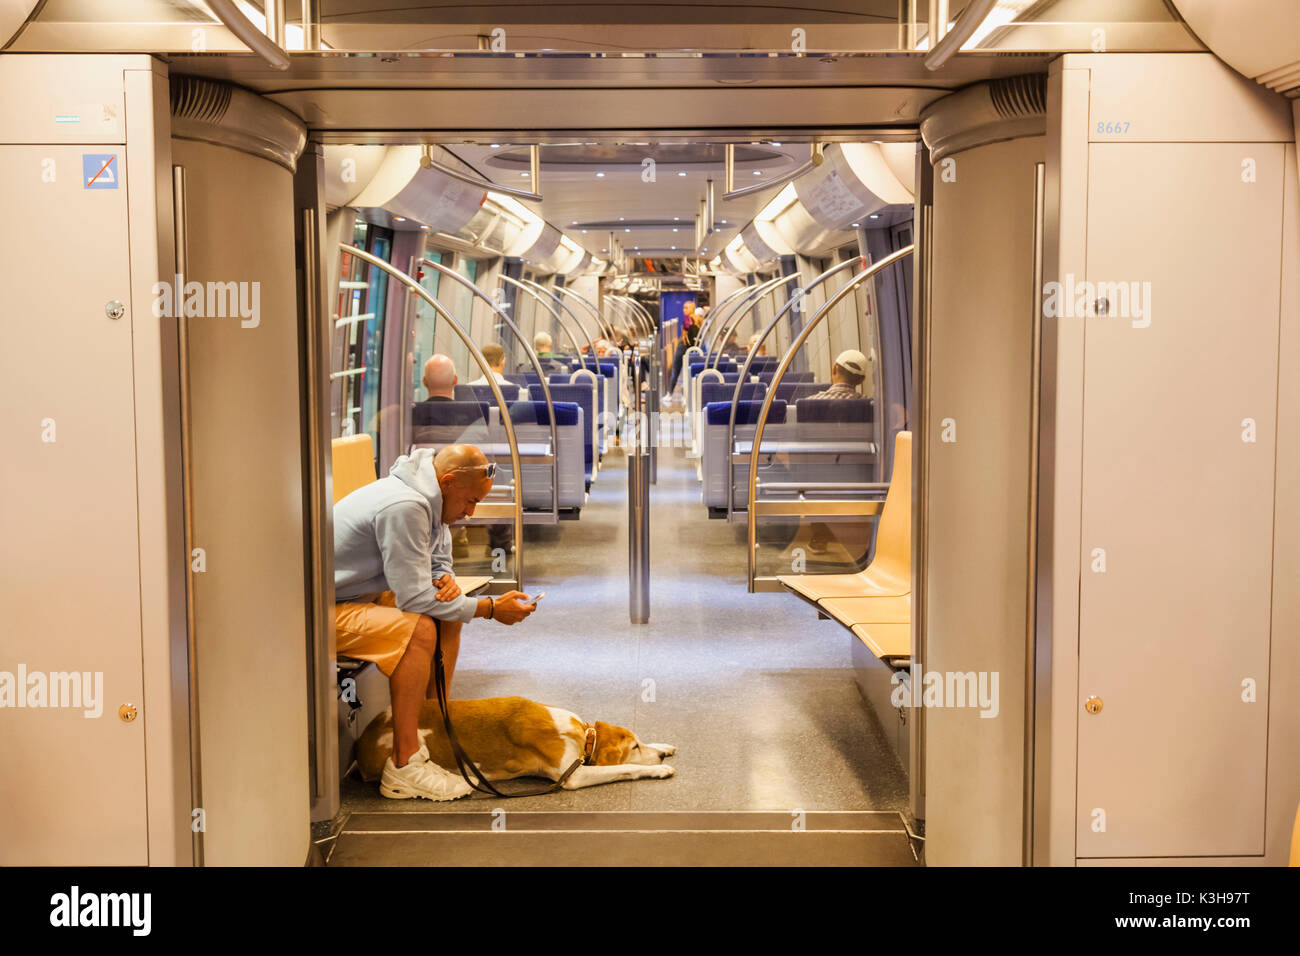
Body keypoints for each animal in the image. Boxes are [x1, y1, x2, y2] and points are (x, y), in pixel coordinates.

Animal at [356, 697, 681, 790]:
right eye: (634, 748)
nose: (660, 758)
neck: (582, 735)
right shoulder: (573, 776)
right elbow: (621, 769)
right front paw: (657, 769)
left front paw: (663, 747)